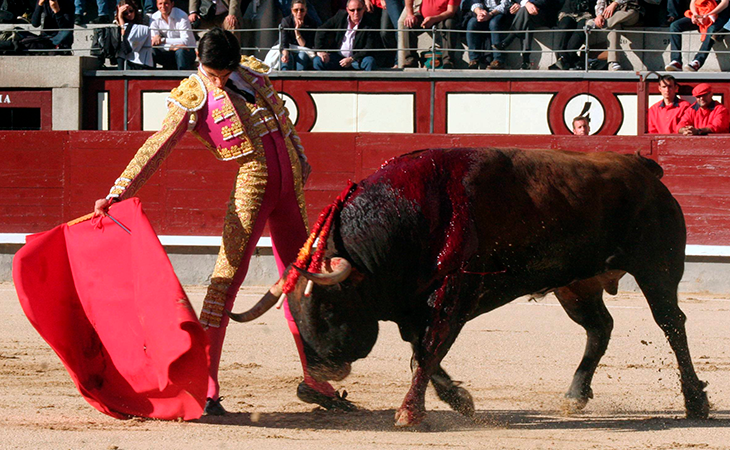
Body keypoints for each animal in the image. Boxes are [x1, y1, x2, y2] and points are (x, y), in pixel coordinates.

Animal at [228, 149, 704, 428]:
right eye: (293, 312)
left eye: (328, 308)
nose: (319, 372)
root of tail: (642, 167)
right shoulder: (412, 306)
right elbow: (424, 353)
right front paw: (458, 400)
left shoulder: (450, 298)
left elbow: (429, 350)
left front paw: (410, 412)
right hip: (575, 284)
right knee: (599, 327)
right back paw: (575, 395)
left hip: (657, 268)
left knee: (672, 324)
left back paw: (695, 401)